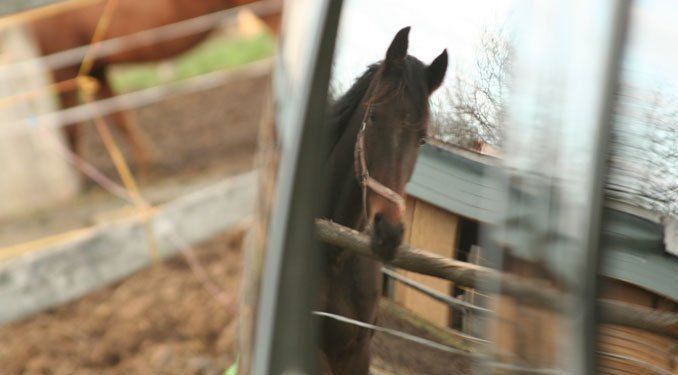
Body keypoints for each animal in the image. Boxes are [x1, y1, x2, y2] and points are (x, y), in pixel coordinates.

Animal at [29, 0, 282, 177]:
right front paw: (147, 164)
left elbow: (70, 125)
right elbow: (119, 116)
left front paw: (82, 177)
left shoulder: (64, 68)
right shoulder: (94, 69)